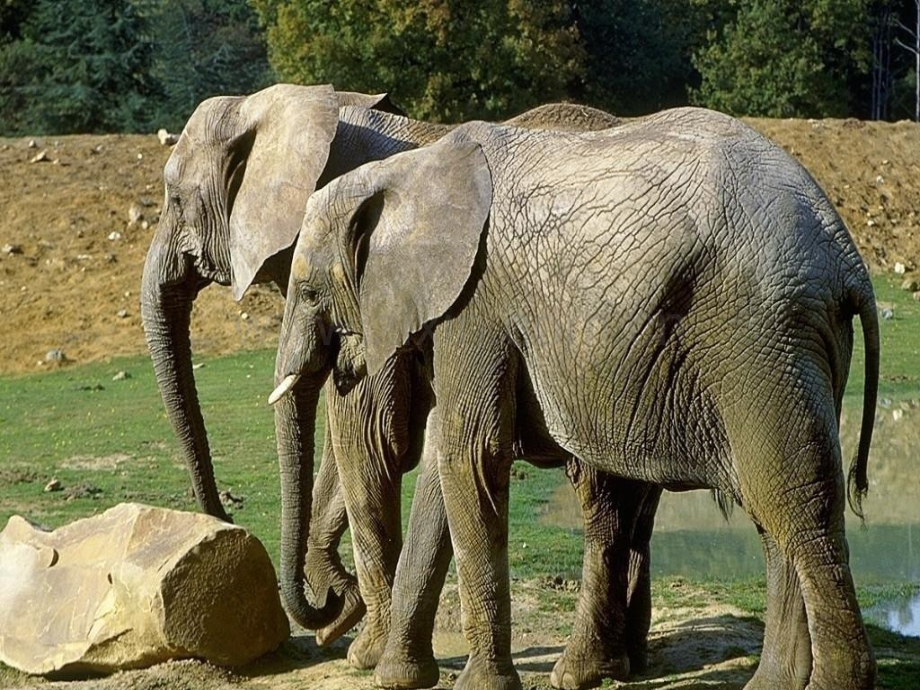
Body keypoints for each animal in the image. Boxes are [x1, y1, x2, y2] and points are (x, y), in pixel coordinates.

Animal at [139, 82, 658, 686]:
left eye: (176, 200)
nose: (222, 521)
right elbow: (352, 442)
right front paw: (345, 616)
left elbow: (369, 439)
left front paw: (363, 650)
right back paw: (630, 660)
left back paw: (587, 666)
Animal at [271, 108, 881, 690]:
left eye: (307, 290)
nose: (330, 610)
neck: (407, 169)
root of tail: (847, 256)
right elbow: (452, 461)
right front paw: (399, 678)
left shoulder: (476, 305)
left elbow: (470, 453)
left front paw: (475, 685)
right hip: (794, 343)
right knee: (772, 514)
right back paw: (762, 683)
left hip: (761, 336)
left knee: (796, 503)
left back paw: (831, 683)